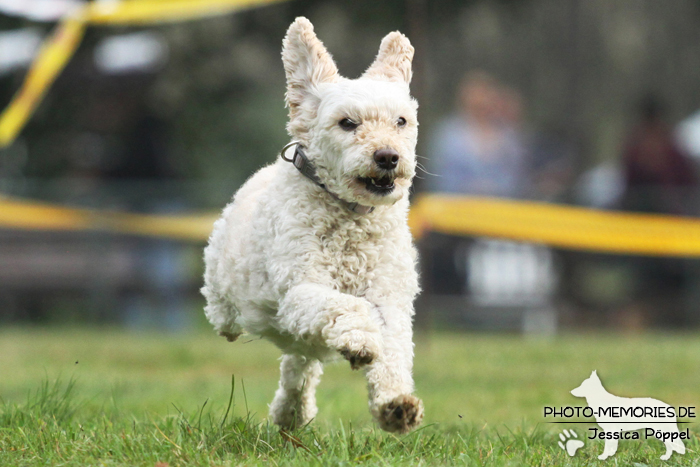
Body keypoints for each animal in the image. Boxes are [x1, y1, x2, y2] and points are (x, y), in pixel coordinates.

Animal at [200, 17, 424, 436]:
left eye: (401, 121)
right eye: (347, 123)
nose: (388, 156)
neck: (353, 218)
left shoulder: (391, 298)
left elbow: (393, 351)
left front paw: (395, 404)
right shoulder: (300, 290)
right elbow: (349, 305)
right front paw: (360, 339)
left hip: (300, 340)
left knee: (298, 366)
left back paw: (292, 412)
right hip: (226, 288)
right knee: (231, 319)